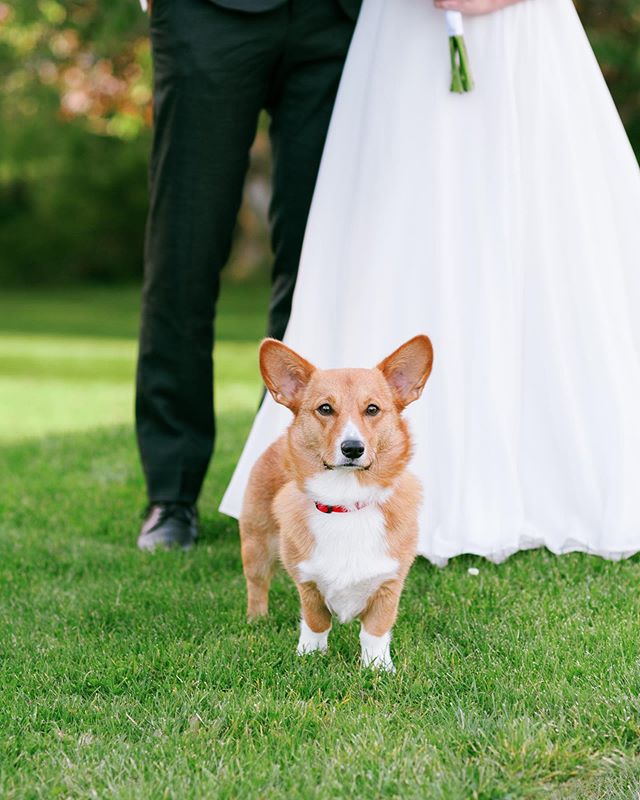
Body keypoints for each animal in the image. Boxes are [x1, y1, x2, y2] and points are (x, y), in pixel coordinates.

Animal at [240, 334, 436, 672]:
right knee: (257, 583)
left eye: (372, 409)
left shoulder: (389, 584)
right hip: (256, 543)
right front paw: (309, 657)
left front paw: (377, 668)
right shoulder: (307, 584)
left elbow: (376, 631)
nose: (353, 448)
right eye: (325, 408)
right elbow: (315, 623)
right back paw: (257, 620)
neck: (347, 502)